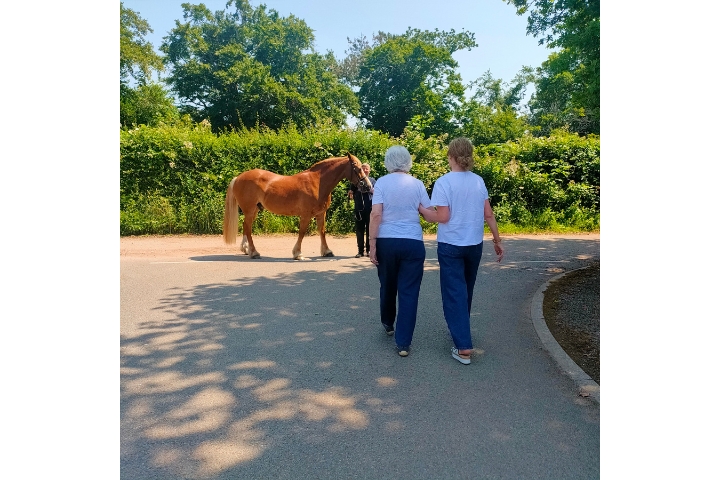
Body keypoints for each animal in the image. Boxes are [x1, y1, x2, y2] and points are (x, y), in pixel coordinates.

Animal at [223, 154, 372, 260]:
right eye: (358, 168)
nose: (368, 186)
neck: (318, 182)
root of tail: (238, 178)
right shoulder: (305, 215)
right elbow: (302, 232)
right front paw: (298, 253)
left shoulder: (321, 214)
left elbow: (322, 231)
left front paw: (327, 251)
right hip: (250, 210)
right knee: (248, 228)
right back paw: (254, 253)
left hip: (254, 210)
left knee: (245, 226)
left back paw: (246, 249)